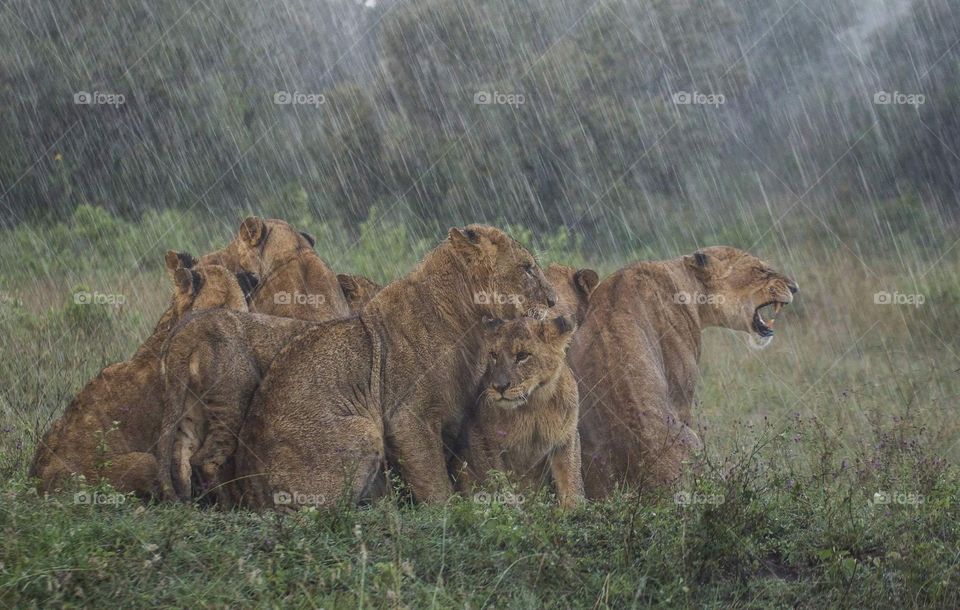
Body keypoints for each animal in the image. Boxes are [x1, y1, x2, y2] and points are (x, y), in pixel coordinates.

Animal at [231, 225, 557, 510]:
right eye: (527, 268)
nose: (554, 300)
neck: (470, 321)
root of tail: (252, 493)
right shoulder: (407, 417)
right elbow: (434, 482)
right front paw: (451, 513)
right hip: (363, 429)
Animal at [451, 314, 583, 508]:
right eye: (494, 355)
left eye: (522, 356)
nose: (499, 387)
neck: (534, 405)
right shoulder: (485, 438)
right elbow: (500, 484)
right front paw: (511, 511)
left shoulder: (566, 437)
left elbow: (571, 480)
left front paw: (575, 512)